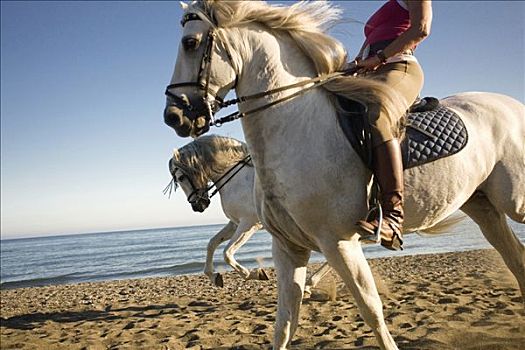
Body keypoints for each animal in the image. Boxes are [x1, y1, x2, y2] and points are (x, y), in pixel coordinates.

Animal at [169, 133, 332, 290]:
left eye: (181, 177)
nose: (198, 206)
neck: (236, 179)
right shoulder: (235, 224)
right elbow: (212, 244)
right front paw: (214, 277)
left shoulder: (249, 224)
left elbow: (227, 253)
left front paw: (256, 274)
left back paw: (310, 283)